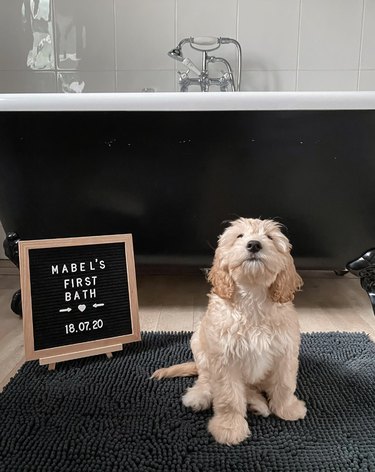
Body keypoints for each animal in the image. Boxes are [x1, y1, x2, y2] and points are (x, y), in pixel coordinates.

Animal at [151, 218, 306, 446]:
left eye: (269, 237)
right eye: (239, 236)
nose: (254, 244)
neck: (252, 299)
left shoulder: (285, 352)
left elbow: (285, 383)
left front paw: (287, 408)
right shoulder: (224, 359)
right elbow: (228, 396)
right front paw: (229, 428)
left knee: (251, 388)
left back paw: (257, 404)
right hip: (198, 344)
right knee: (206, 379)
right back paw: (200, 396)